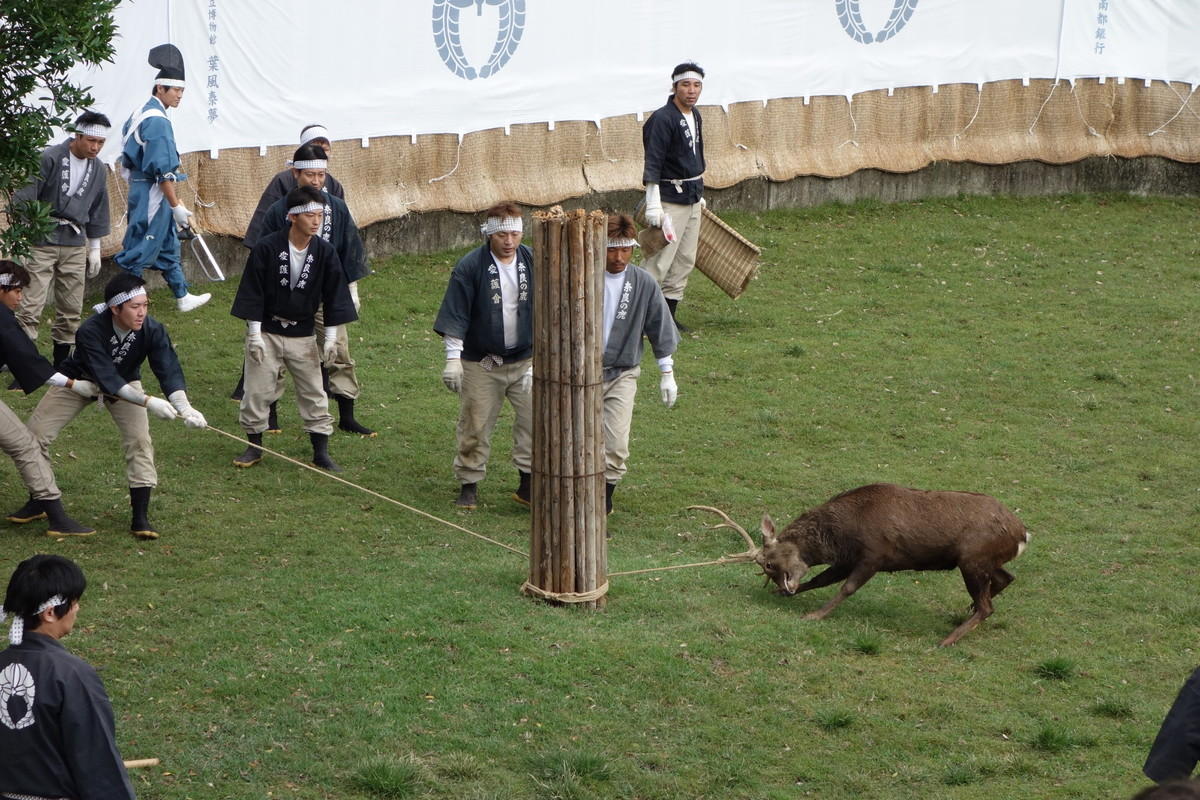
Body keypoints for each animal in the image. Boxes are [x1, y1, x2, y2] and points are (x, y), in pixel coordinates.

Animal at [696, 484, 1032, 647]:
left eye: (769, 563)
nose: (785, 588)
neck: (844, 532)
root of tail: (1022, 533)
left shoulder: (875, 554)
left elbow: (847, 587)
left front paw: (814, 615)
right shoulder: (848, 559)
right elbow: (821, 580)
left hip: (973, 558)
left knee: (988, 605)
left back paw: (947, 640)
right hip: (982, 561)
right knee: (1006, 578)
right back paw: (962, 613)